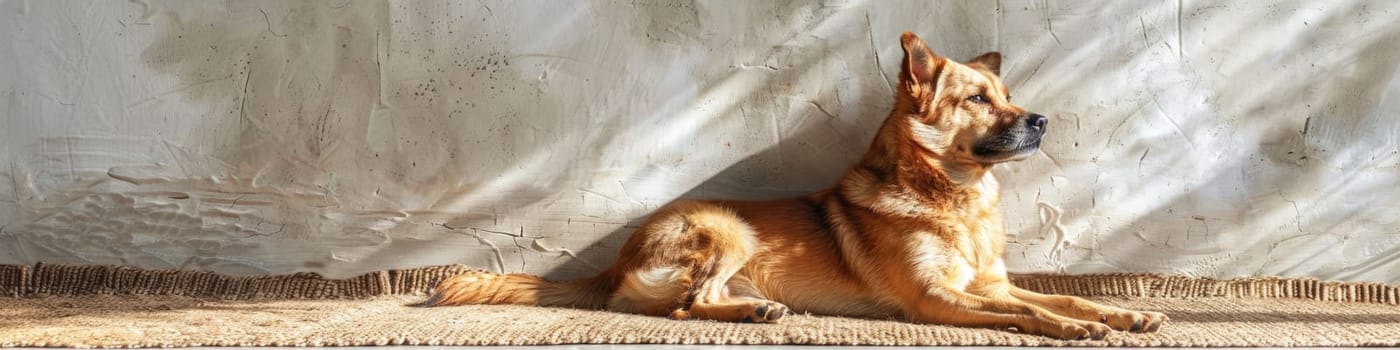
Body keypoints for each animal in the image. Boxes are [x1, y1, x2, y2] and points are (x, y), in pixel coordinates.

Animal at [425, 32, 1170, 338]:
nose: (1042, 121)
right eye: (979, 99)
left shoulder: (987, 285)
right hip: (728, 228)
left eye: (1008, 96)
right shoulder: (938, 299)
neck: (954, 197)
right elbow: (1032, 314)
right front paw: (1076, 328)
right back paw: (748, 315)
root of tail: (616, 261)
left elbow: (1060, 296)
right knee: (684, 308)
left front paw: (1123, 314)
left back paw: (760, 309)